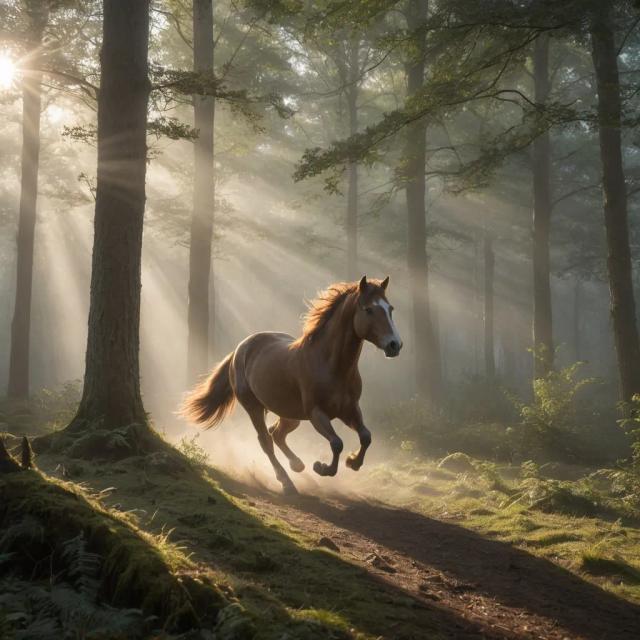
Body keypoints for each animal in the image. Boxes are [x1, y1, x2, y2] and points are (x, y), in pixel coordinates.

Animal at [181, 276, 402, 494]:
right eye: (369, 309)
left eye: (390, 308)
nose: (395, 345)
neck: (331, 366)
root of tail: (239, 349)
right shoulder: (316, 413)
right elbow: (336, 443)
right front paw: (322, 468)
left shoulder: (350, 409)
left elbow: (366, 436)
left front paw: (352, 462)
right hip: (254, 407)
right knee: (266, 440)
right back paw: (287, 481)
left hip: (290, 414)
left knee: (276, 434)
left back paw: (297, 466)